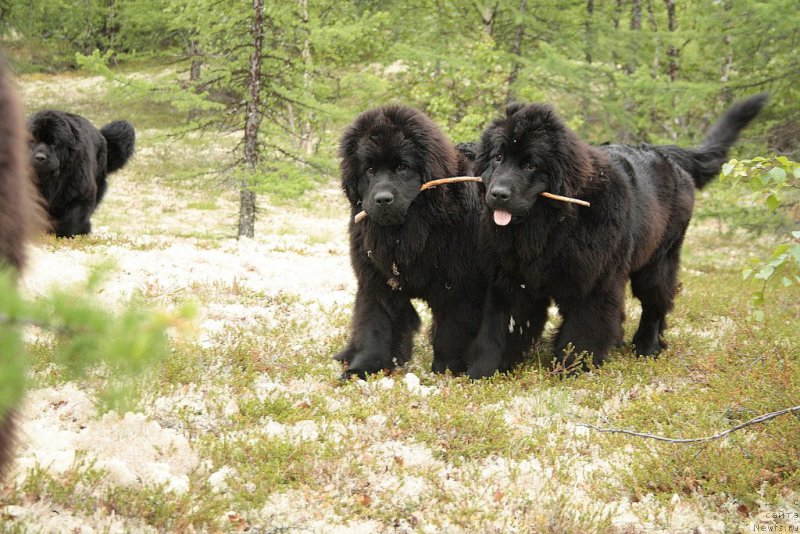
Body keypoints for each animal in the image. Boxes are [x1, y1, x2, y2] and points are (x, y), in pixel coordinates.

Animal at [27, 110, 134, 238]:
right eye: (32, 141)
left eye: (54, 143)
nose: (40, 157)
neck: (50, 181)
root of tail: (101, 135)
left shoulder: (79, 191)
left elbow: (74, 215)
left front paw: (66, 234)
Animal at [334, 105, 484, 382]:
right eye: (369, 170)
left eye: (403, 167)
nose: (383, 199)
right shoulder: (377, 280)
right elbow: (375, 326)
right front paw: (364, 368)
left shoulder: (458, 284)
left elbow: (452, 329)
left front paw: (448, 368)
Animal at [468, 96, 768, 382]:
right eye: (497, 158)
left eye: (530, 165)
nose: (498, 194)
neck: (551, 227)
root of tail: (668, 153)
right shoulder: (513, 279)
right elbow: (500, 330)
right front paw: (483, 371)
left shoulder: (594, 282)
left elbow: (584, 328)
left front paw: (573, 368)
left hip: (659, 259)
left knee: (655, 303)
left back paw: (647, 346)